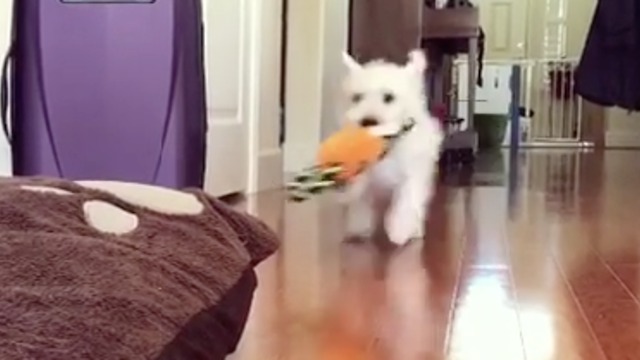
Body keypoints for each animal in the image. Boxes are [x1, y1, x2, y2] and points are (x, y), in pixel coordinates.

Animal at [340, 49, 444, 246]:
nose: (368, 121)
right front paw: (359, 225)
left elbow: (406, 201)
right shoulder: (363, 176)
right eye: (357, 98)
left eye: (389, 97)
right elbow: (360, 198)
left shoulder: (412, 174)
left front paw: (399, 230)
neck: (386, 145)